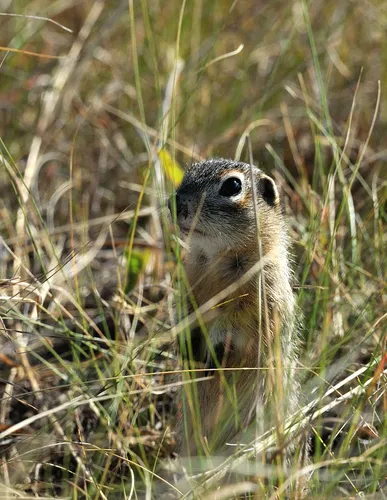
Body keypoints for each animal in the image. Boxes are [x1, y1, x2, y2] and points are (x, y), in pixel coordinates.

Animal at [169, 157, 300, 458]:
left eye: (232, 185)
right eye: (188, 172)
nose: (175, 202)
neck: (216, 257)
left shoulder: (261, 298)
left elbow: (237, 325)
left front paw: (216, 352)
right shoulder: (187, 286)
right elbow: (184, 312)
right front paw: (184, 344)